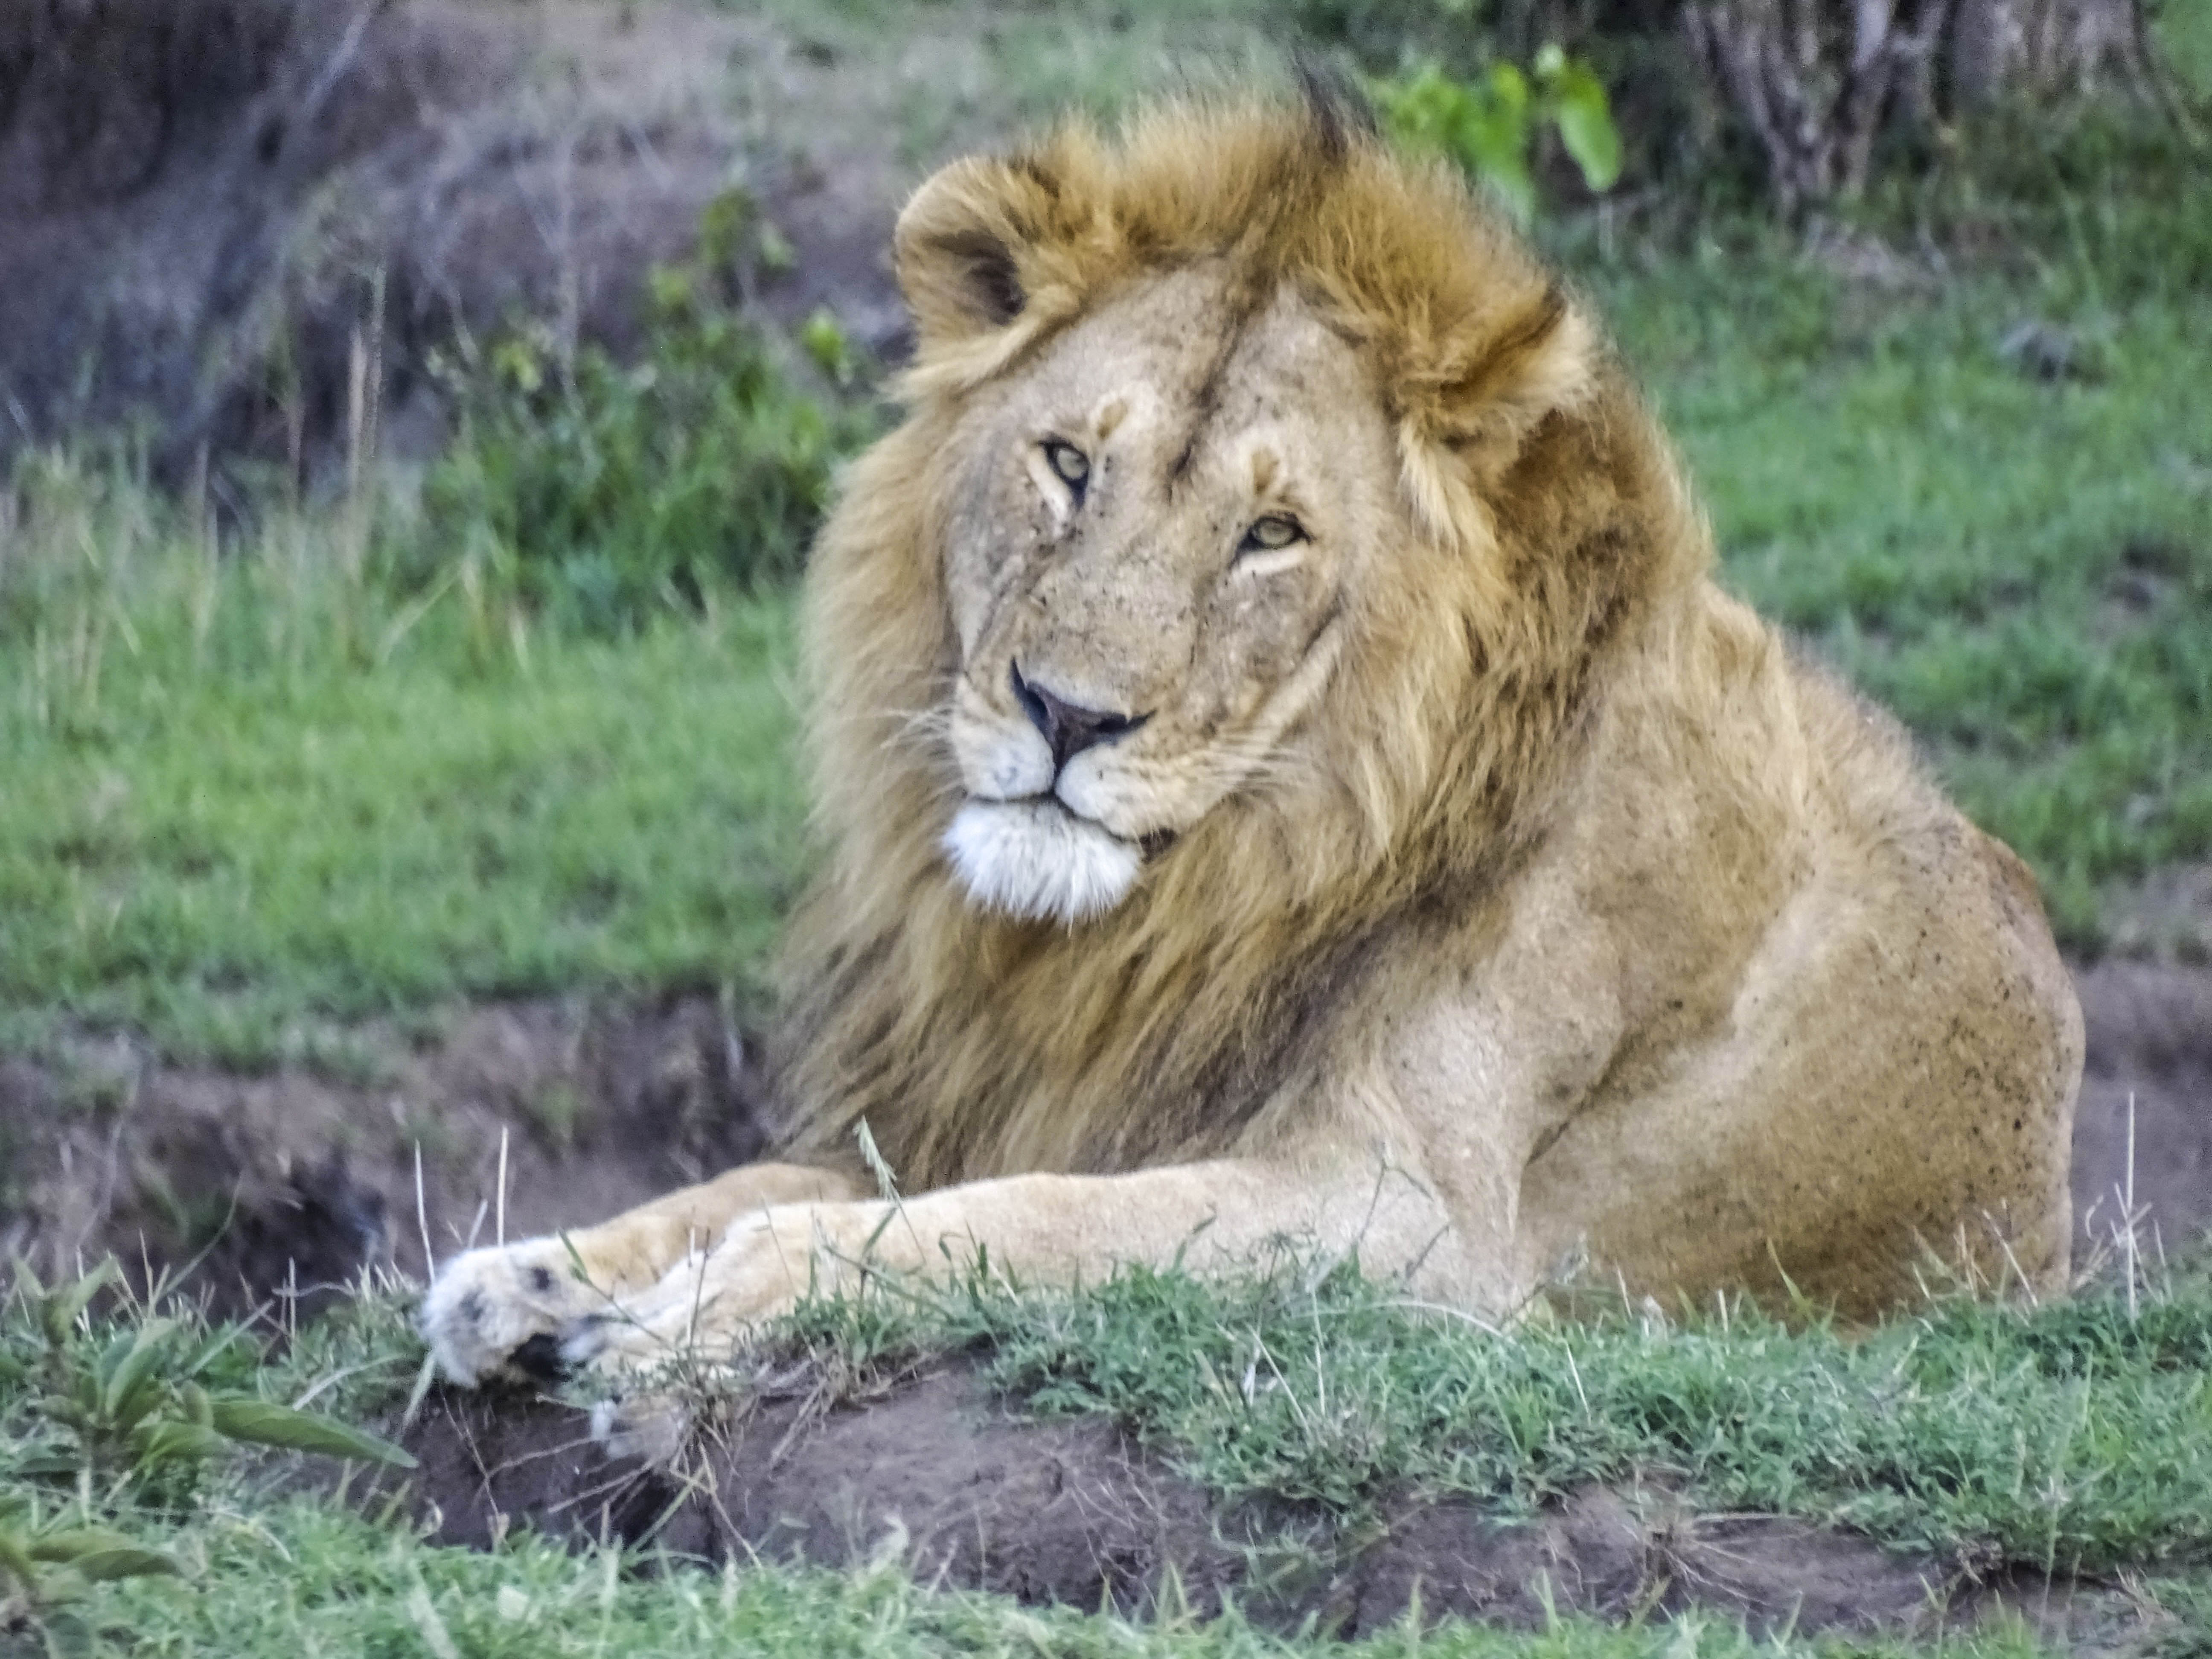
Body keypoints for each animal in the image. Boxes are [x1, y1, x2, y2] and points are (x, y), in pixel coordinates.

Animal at [421, 90, 2082, 1392]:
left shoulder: (1405, 1222)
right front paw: (541, 1271)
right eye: (1067, 462)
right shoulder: (1039, 1090)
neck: (1215, 890)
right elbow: (772, 1175)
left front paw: (699, 1307)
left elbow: (1011, 1220)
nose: (1067, 712)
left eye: (1272, 534)